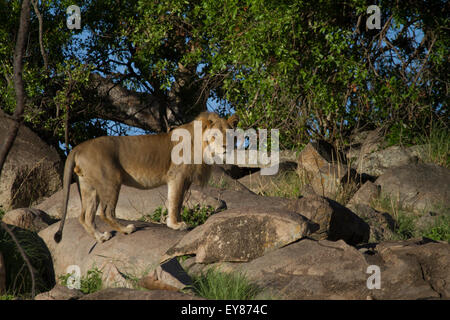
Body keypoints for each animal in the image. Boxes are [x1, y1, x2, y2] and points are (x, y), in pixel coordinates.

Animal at [53, 112, 239, 242]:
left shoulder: (185, 180)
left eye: (229, 135)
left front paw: (177, 221)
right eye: (215, 136)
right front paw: (175, 225)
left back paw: (101, 237)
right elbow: (174, 201)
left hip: (88, 187)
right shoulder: (177, 176)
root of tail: (78, 147)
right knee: (105, 212)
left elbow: (178, 203)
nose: (225, 147)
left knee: (85, 216)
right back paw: (126, 230)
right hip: (111, 181)